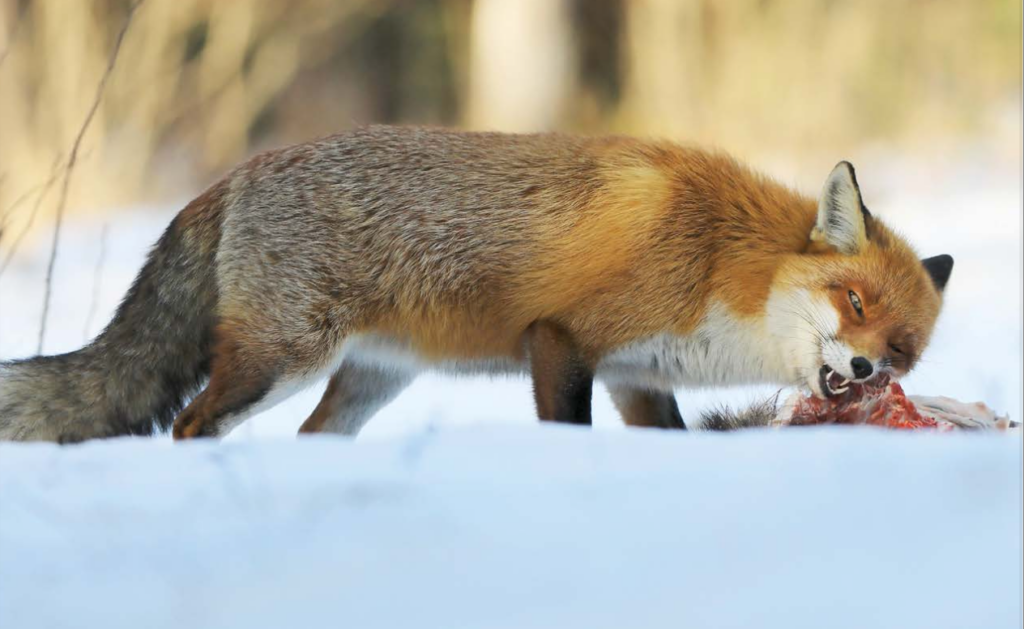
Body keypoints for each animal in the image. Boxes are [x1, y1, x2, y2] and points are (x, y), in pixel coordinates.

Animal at [0, 127, 950, 444]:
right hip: (278, 360)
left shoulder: (640, 376)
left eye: (903, 346)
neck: (723, 260)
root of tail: (235, 174)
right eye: (854, 302)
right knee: (191, 421)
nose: (866, 370)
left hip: (367, 381)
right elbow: (567, 428)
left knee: (312, 437)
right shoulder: (565, 339)